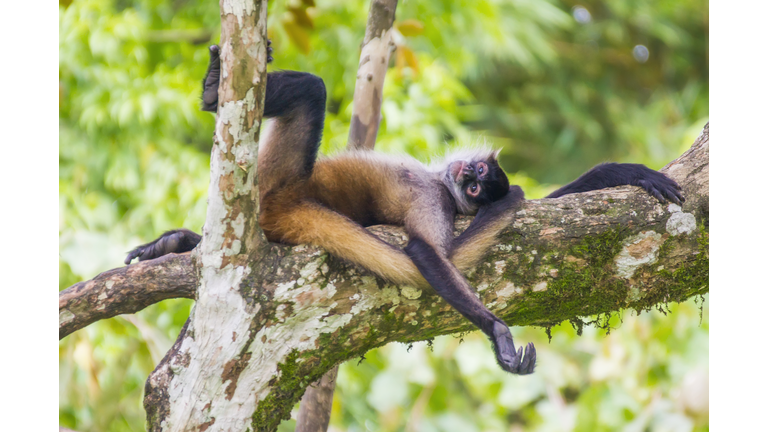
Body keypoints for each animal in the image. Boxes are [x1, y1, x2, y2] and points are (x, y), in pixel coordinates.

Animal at [124, 44, 684, 374]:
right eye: (475, 174)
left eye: (478, 189)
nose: (468, 174)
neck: (440, 183)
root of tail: (284, 206)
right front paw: (634, 172)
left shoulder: (434, 204)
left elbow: (426, 251)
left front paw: (497, 333)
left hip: (277, 177)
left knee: (311, 92)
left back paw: (211, 95)